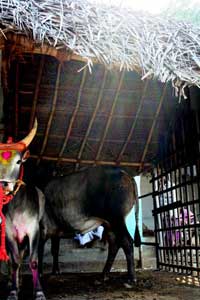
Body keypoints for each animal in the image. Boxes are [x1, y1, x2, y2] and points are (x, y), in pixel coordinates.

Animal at [0, 120, 45, 300]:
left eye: (18, 162)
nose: (4, 184)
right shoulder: (9, 232)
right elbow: (14, 262)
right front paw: (13, 291)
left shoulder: (33, 230)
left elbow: (33, 261)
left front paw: (39, 292)